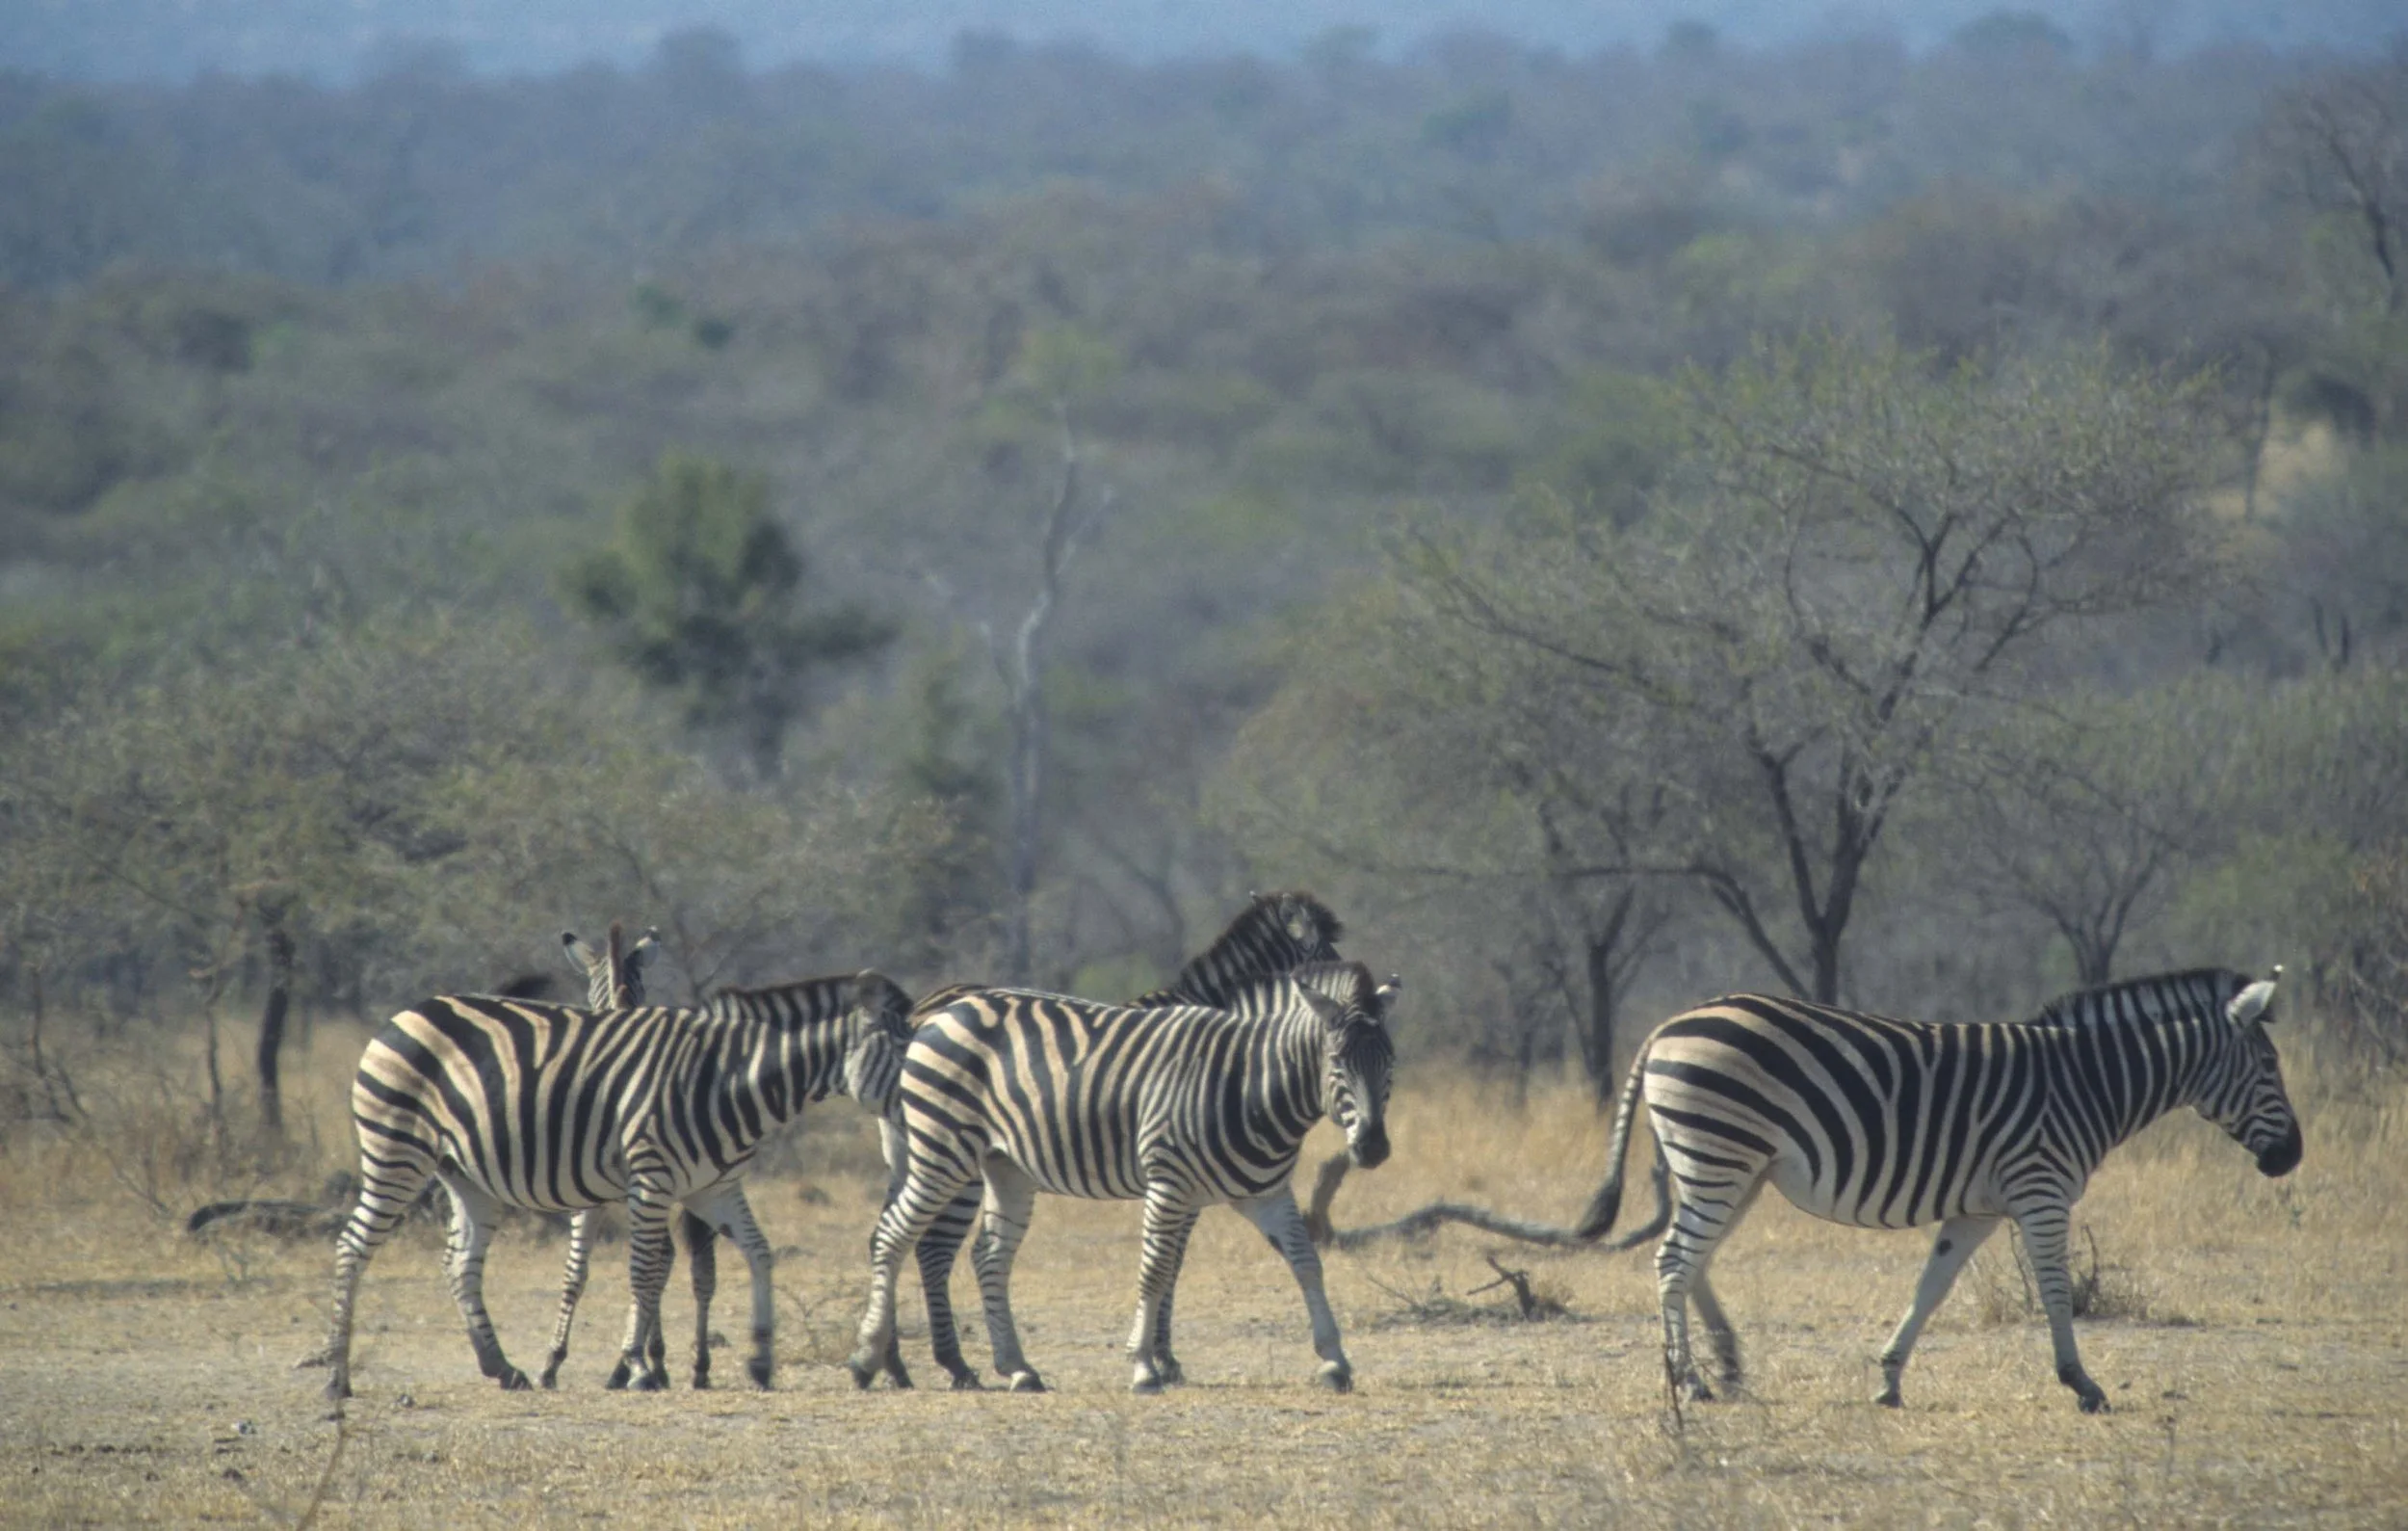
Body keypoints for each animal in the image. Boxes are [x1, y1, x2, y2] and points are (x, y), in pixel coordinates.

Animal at [304, 964, 914, 1401]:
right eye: (902, 1049)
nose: (919, 1108)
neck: (728, 1079)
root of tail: (405, 1014)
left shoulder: (712, 1189)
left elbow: (758, 1254)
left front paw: (759, 1357)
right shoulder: (652, 1179)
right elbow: (645, 1275)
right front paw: (640, 1366)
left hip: (465, 1174)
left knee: (460, 1262)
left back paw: (500, 1366)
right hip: (396, 1149)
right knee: (352, 1245)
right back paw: (337, 1377)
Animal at [848, 959, 1396, 1395]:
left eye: (1389, 1063)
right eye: (1336, 1062)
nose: (1373, 1148)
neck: (1250, 1084)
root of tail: (942, 1011)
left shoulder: (1265, 1193)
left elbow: (1307, 1263)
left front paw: (1334, 1360)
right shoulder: (1169, 1182)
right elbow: (1154, 1270)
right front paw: (1145, 1368)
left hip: (1006, 1166)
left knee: (989, 1256)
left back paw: (1019, 1368)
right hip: (943, 1150)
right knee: (894, 1236)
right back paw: (867, 1359)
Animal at [1574, 967, 2302, 1413]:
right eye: (2270, 1066)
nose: (2292, 1156)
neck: (2088, 1082)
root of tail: (1669, 1024)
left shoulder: (1977, 1210)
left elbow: (1932, 1287)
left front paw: (1888, 1379)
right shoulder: (2042, 1189)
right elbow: (2056, 1289)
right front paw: (2082, 1383)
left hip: (1734, 1165)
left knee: (1695, 1260)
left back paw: (1722, 1365)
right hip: (1720, 1153)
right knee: (1673, 1260)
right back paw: (1691, 1380)